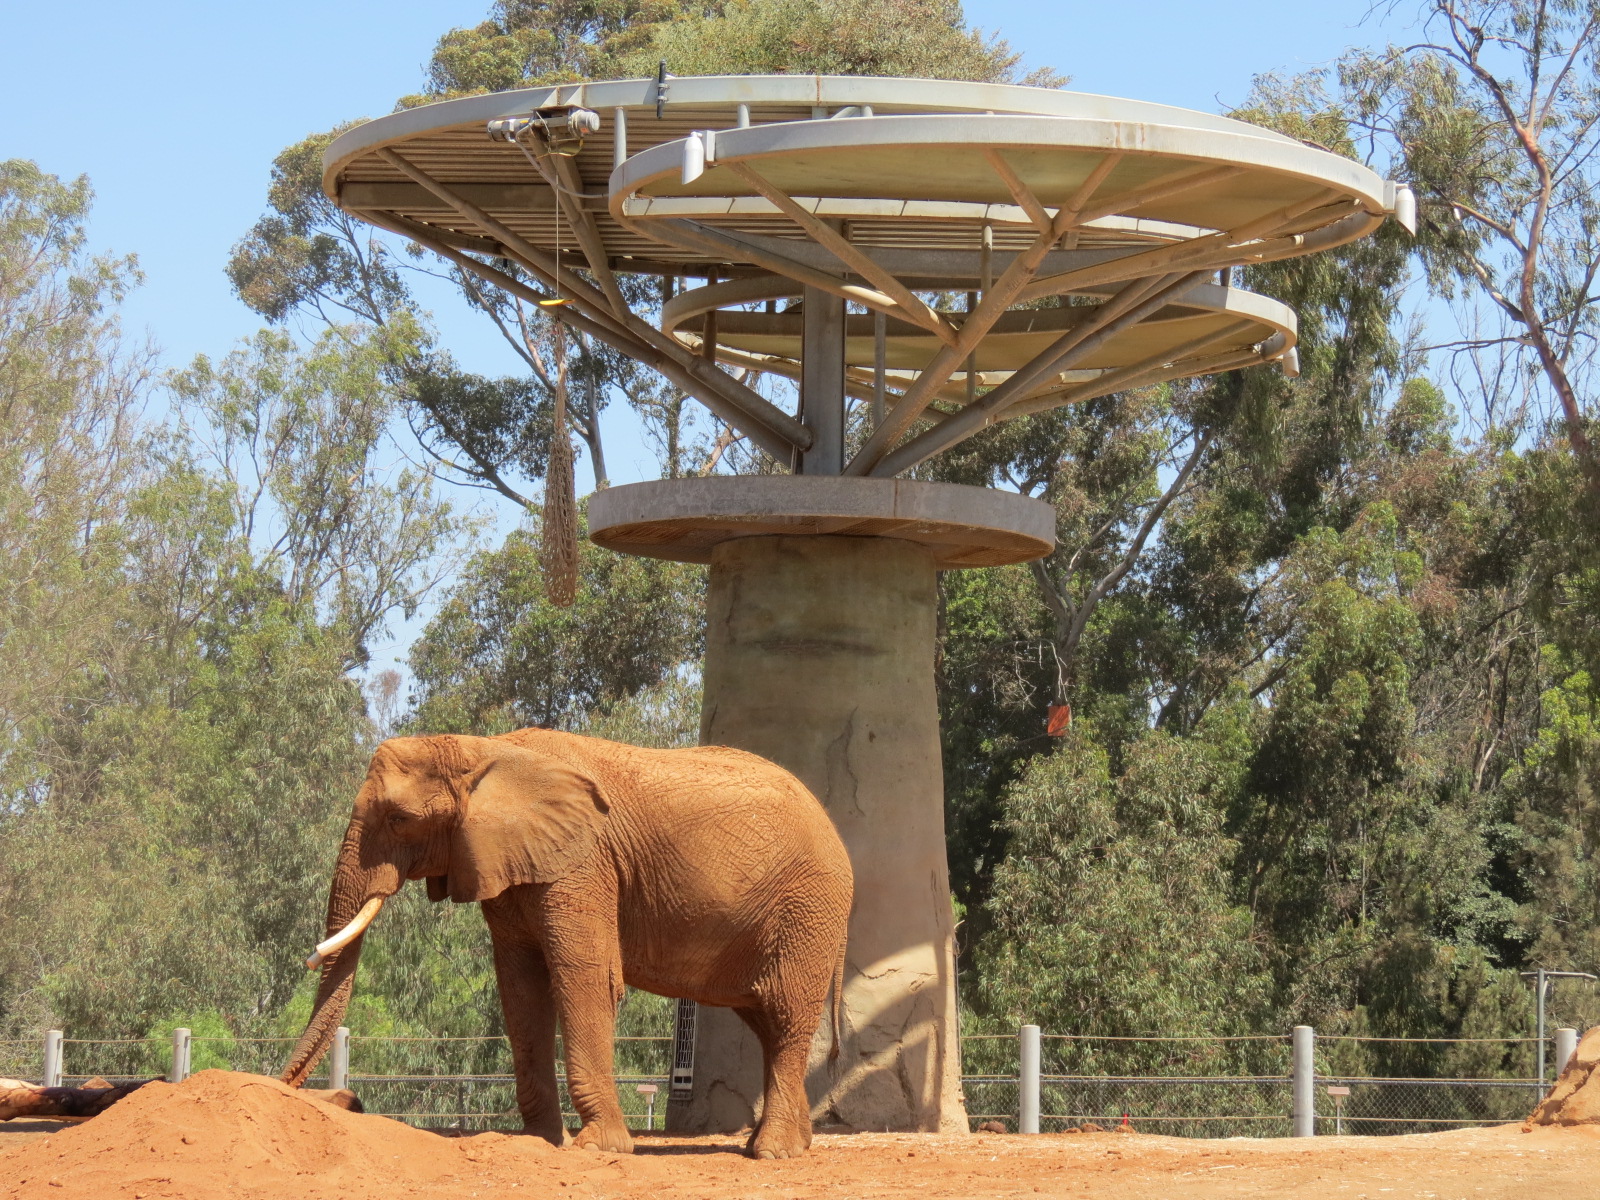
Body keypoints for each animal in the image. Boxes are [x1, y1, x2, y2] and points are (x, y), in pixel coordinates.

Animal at [279, 727, 853, 1159]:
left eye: (399, 820)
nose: (346, 1100)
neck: (484, 749)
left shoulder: (582, 863)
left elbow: (585, 976)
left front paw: (599, 1147)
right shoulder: (508, 863)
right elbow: (520, 988)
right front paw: (537, 1141)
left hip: (808, 909)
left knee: (786, 1016)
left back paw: (772, 1153)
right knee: (765, 1022)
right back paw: (788, 1145)